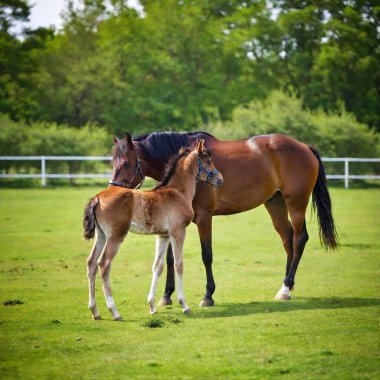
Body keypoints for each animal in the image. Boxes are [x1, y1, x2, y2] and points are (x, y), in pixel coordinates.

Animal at [83, 138, 223, 320]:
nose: (220, 179)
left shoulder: (162, 236)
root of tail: (97, 198)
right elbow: (178, 264)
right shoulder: (178, 232)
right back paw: (114, 311)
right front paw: (184, 305)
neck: (177, 192)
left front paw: (152, 306)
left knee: (91, 263)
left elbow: (158, 266)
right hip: (116, 236)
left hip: (101, 235)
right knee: (103, 264)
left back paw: (95, 311)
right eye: (207, 160)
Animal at [110, 132, 338, 308]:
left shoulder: (204, 218)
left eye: (127, 163)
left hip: (296, 203)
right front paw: (166, 296)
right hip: (276, 203)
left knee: (299, 239)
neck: (190, 173)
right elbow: (171, 258)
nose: (114, 190)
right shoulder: (173, 223)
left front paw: (208, 295)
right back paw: (286, 286)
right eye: (113, 161)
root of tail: (305, 147)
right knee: (287, 239)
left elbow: (206, 255)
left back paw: (286, 287)